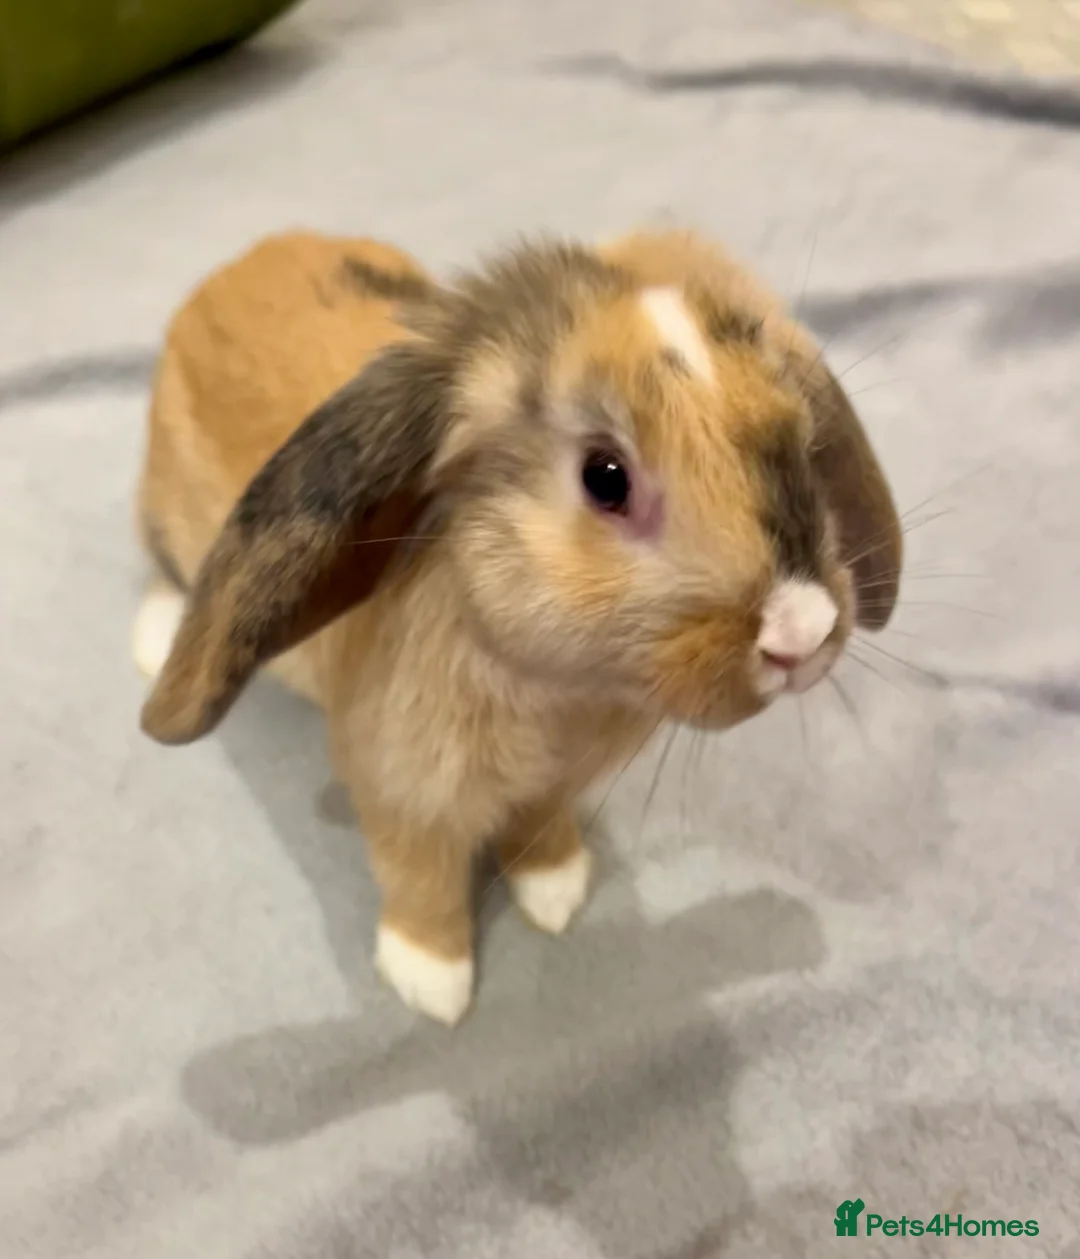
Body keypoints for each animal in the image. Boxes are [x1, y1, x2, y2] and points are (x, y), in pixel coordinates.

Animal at [134, 227, 902, 1026]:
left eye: (799, 437)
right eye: (605, 476)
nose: (804, 630)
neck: (556, 687)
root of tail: (242, 261)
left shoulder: (554, 785)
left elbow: (538, 828)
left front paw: (556, 891)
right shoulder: (404, 793)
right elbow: (421, 881)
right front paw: (432, 984)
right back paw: (154, 639)